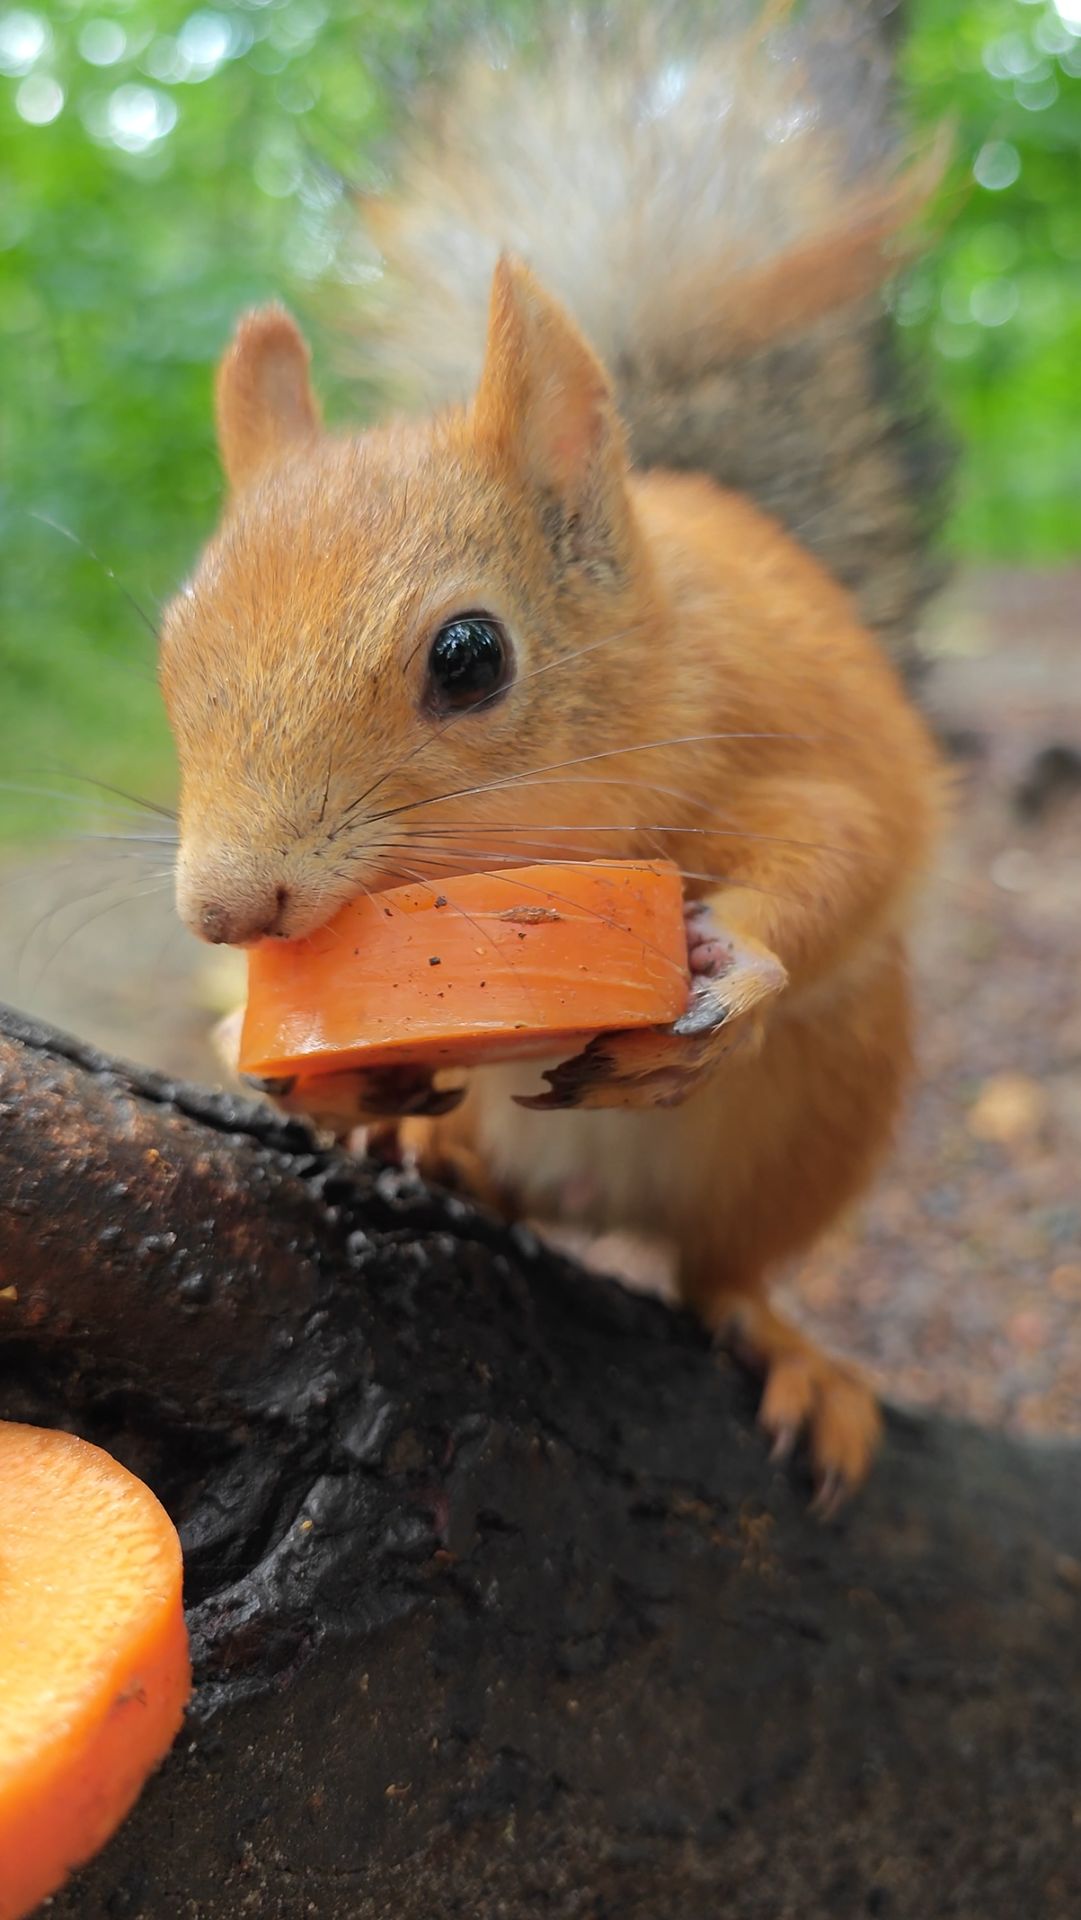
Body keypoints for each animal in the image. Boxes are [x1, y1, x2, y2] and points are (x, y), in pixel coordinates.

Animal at [159, 3, 946, 1508]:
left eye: (470, 657)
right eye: (171, 651)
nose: (227, 910)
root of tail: (581, 1190)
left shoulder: (802, 722)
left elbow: (846, 844)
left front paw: (738, 957)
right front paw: (290, 1061)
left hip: (822, 1118)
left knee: (721, 1274)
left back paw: (787, 1348)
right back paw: (420, 1135)